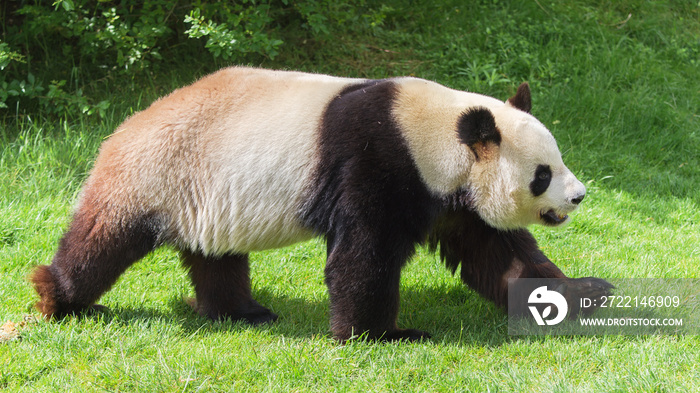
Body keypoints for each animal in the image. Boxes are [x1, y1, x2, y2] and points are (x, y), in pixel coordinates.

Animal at [32, 66, 612, 340]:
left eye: (559, 161)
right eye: (542, 175)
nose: (579, 196)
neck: (435, 133)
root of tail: (123, 127)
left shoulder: (452, 195)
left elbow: (497, 253)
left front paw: (583, 293)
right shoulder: (379, 161)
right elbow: (364, 254)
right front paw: (382, 335)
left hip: (207, 194)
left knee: (216, 256)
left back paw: (242, 312)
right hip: (156, 173)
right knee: (103, 240)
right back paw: (56, 296)